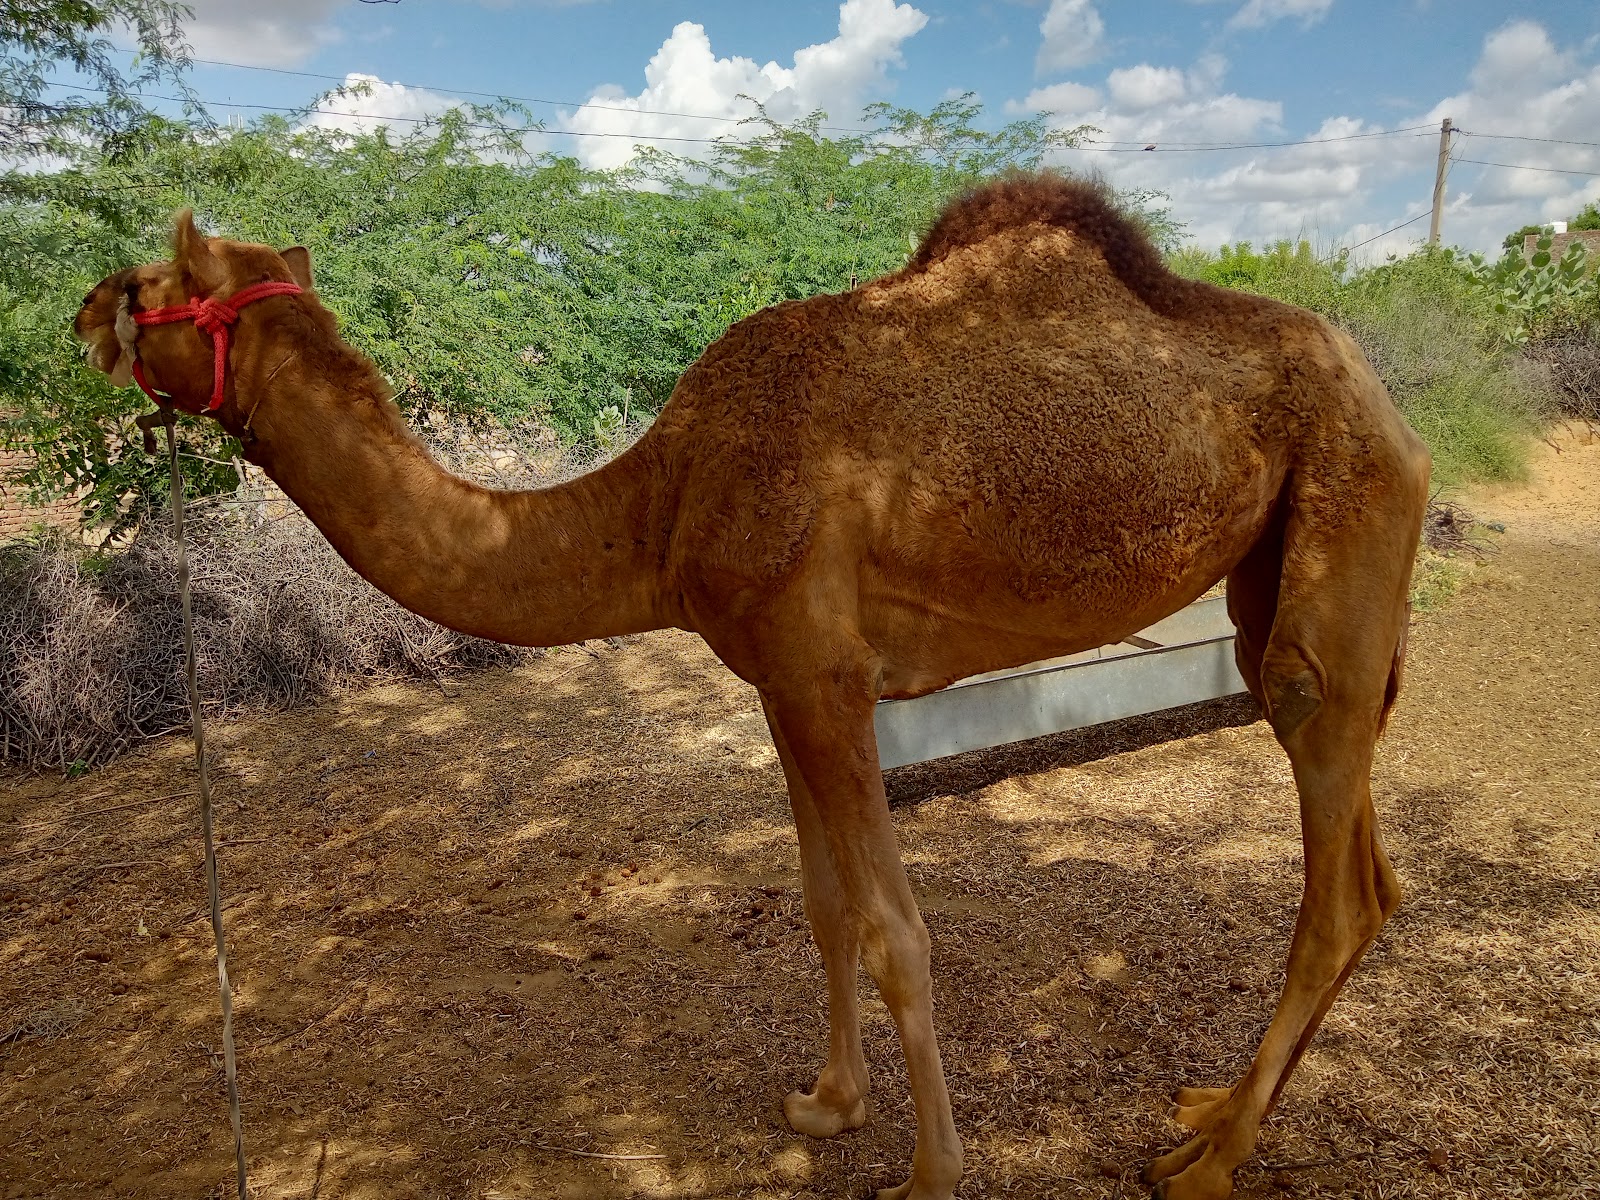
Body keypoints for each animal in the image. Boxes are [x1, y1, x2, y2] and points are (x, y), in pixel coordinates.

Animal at [75, 175, 1429, 1200]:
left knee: (1331, 858)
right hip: (1273, 580)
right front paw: (827, 1106)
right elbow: (824, 906)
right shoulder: (780, 680)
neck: (664, 503)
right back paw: (1212, 1110)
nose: (82, 310)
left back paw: (1205, 1162)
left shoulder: (826, 675)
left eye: (148, 288)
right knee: (1373, 867)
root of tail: (1391, 400)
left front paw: (928, 1176)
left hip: (1343, 528)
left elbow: (894, 930)